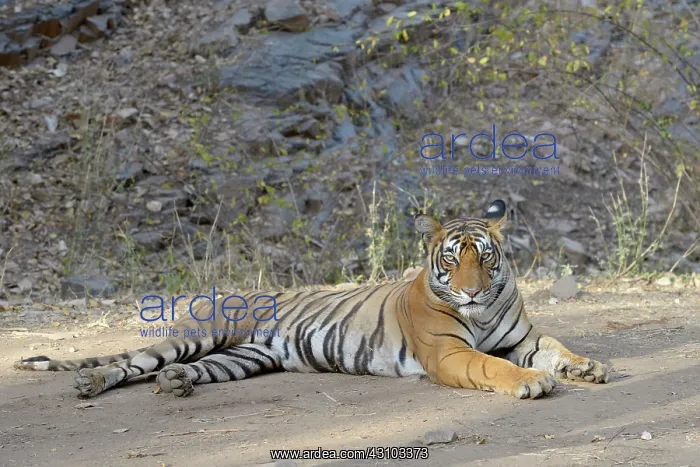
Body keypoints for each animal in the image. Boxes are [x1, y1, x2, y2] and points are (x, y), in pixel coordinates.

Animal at [14, 200, 608, 399]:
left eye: (485, 258)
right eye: (451, 259)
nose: (471, 289)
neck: (481, 311)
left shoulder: (524, 338)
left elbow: (556, 346)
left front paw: (588, 366)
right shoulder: (449, 353)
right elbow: (494, 366)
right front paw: (532, 382)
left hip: (242, 358)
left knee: (178, 370)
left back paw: (177, 383)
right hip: (199, 334)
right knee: (131, 363)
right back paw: (92, 383)